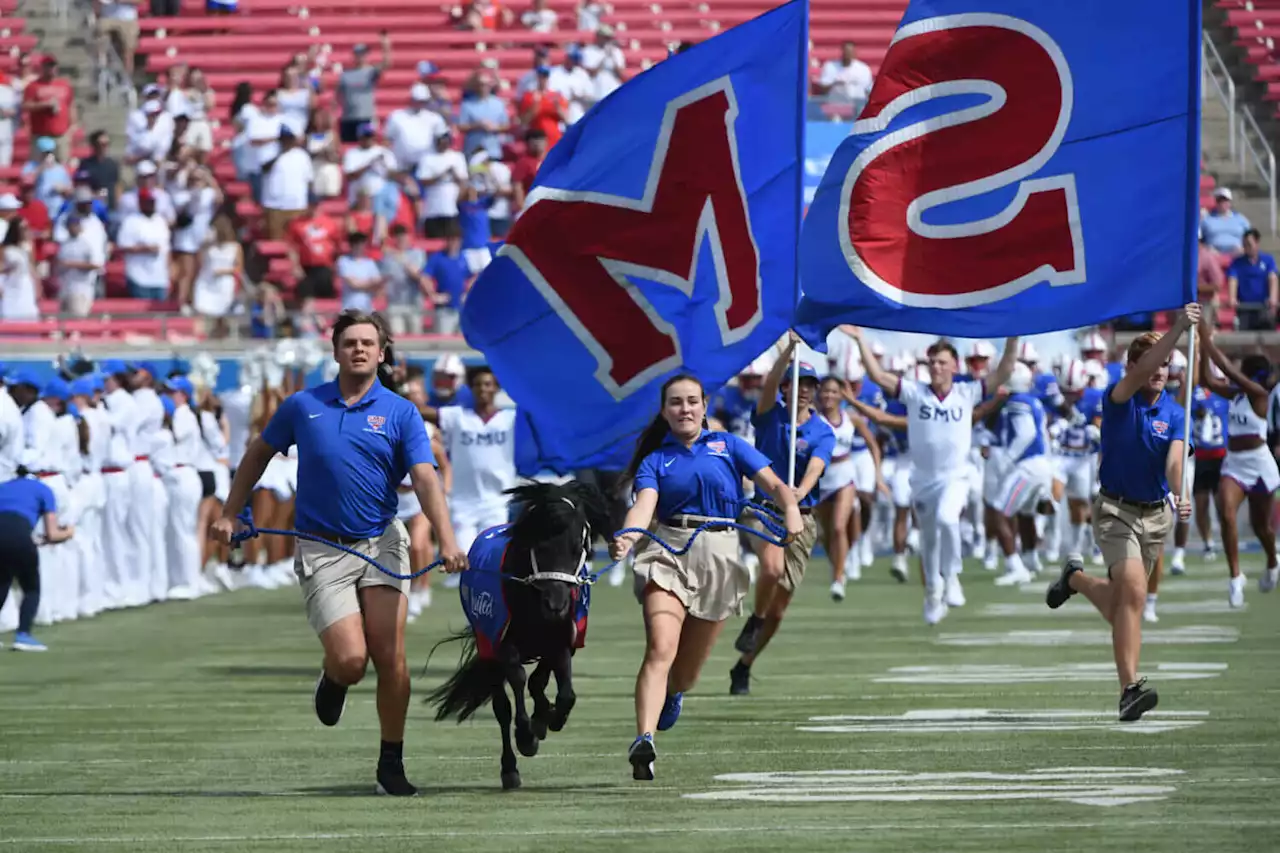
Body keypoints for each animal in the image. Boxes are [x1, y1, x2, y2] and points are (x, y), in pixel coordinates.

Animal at [427, 481, 611, 788]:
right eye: (539, 544)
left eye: (578, 547)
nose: (555, 604)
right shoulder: (501, 642)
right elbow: (518, 680)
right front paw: (527, 735)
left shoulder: (563, 638)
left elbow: (559, 688)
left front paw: (549, 718)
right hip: (487, 646)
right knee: (502, 707)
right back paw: (509, 769)